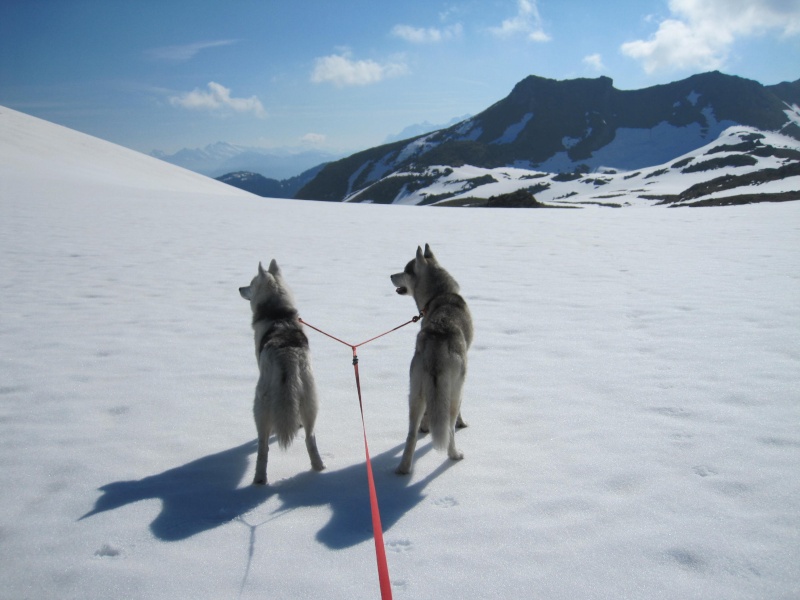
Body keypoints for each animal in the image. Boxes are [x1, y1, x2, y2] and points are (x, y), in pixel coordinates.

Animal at [239, 260, 324, 486]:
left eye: (251, 283)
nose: (239, 288)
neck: (278, 314)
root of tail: (288, 356)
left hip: (260, 405)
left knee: (263, 447)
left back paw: (259, 479)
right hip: (311, 401)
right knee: (310, 438)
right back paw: (318, 468)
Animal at [390, 244, 472, 474]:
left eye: (405, 271)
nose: (390, 275)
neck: (441, 294)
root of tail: (437, 339)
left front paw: (426, 427)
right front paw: (462, 423)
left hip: (414, 392)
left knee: (410, 434)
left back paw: (403, 468)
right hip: (453, 391)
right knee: (449, 428)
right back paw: (455, 455)